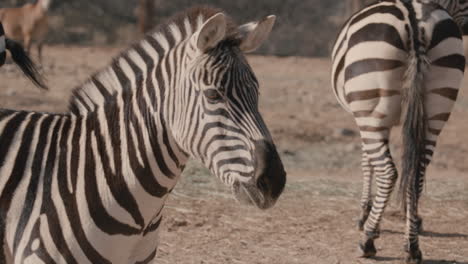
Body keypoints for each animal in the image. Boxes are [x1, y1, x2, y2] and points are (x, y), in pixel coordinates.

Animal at [330, 0, 466, 262]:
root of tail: (413, 18)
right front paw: (414, 218)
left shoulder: (363, 116)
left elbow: (366, 163)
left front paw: (365, 215)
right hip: (436, 108)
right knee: (417, 174)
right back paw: (412, 246)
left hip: (370, 110)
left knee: (388, 172)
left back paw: (368, 241)